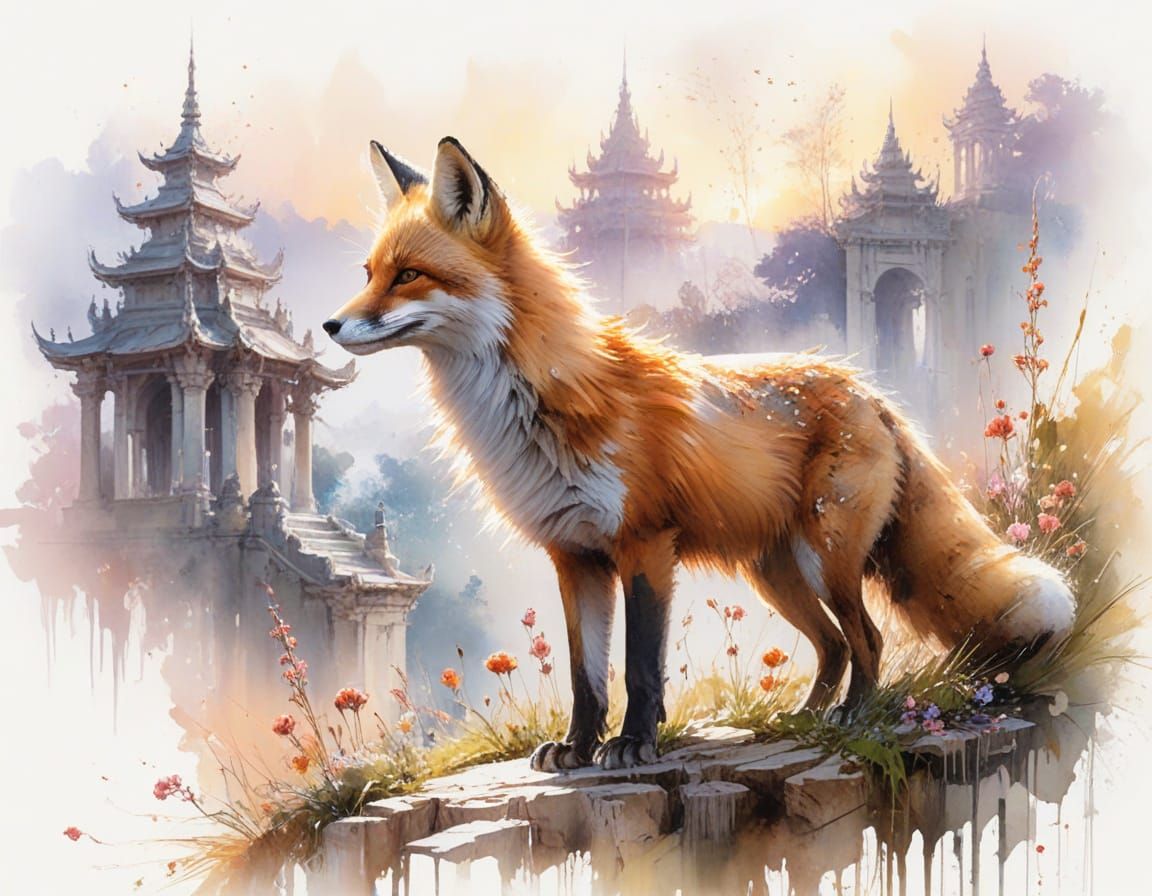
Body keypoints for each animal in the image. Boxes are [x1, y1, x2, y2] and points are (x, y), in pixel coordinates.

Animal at [323, 137, 1075, 771]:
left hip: (825, 558)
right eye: (369, 272)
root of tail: (870, 390)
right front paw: (577, 749)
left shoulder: (645, 544)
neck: (538, 405)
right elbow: (586, 675)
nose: (331, 323)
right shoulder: (574, 555)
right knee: (832, 645)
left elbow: (640, 666)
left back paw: (851, 718)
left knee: (868, 640)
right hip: (776, 572)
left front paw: (632, 746)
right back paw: (798, 719)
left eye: (410, 275)